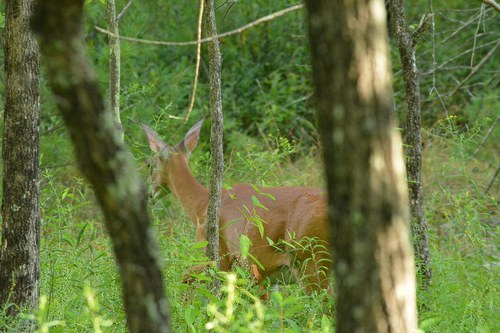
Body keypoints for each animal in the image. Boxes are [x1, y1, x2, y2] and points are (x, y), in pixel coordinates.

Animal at [142, 118, 332, 294]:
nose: (149, 192)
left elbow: (188, 275)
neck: (201, 205)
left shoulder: (220, 254)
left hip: (310, 261)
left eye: (150, 164)